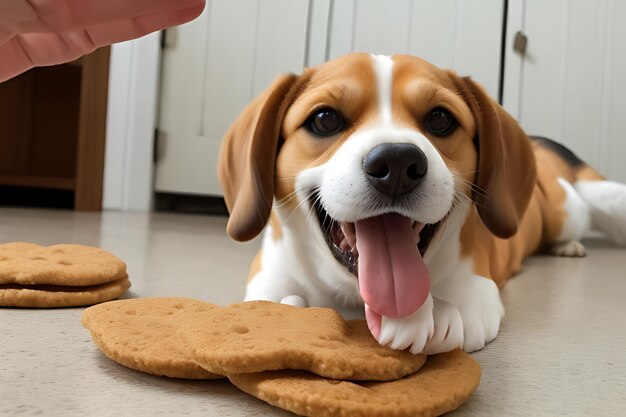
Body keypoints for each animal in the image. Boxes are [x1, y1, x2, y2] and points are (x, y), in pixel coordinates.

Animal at [217, 50, 624, 352]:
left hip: (569, 212)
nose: (396, 162)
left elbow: (463, 307)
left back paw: (567, 246)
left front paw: (437, 315)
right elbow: (273, 301)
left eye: (441, 118)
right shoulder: (268, 279)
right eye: (325, 119)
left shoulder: (479, 288)